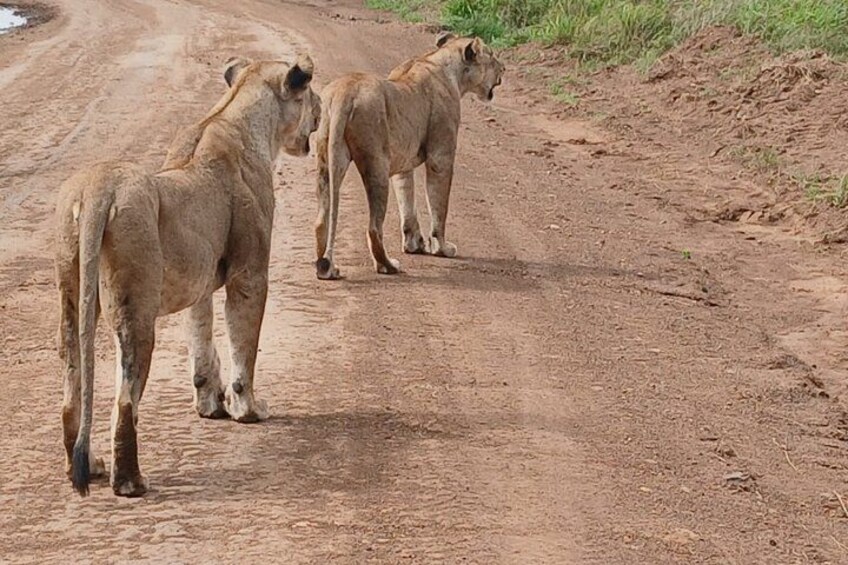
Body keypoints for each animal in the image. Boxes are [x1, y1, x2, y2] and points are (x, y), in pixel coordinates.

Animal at [53, 55, 320, 497]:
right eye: (311, 94)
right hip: (136, 309)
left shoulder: (199, 280)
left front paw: (210, 405)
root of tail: (97, 190)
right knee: (125, 399)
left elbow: (202, 341)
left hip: (73, 300)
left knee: (73, 389)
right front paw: (248, 410)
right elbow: (243, 347)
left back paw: (90, 465)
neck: (234, 117)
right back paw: (130, 482)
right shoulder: (249, 275)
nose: (319, 110)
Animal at [313, 33, 505, 279]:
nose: (504, 68)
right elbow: (439, 206)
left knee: (321, 221)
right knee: (373, 227)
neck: (440, 62)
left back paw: (328, 268)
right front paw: (442, 248)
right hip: (377, 163)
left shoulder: (403, 161)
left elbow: (407, 200)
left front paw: (415, 244)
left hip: (327, 159)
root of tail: (344, 93)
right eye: (491, 55)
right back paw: (389, 266)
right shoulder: (440, 157)